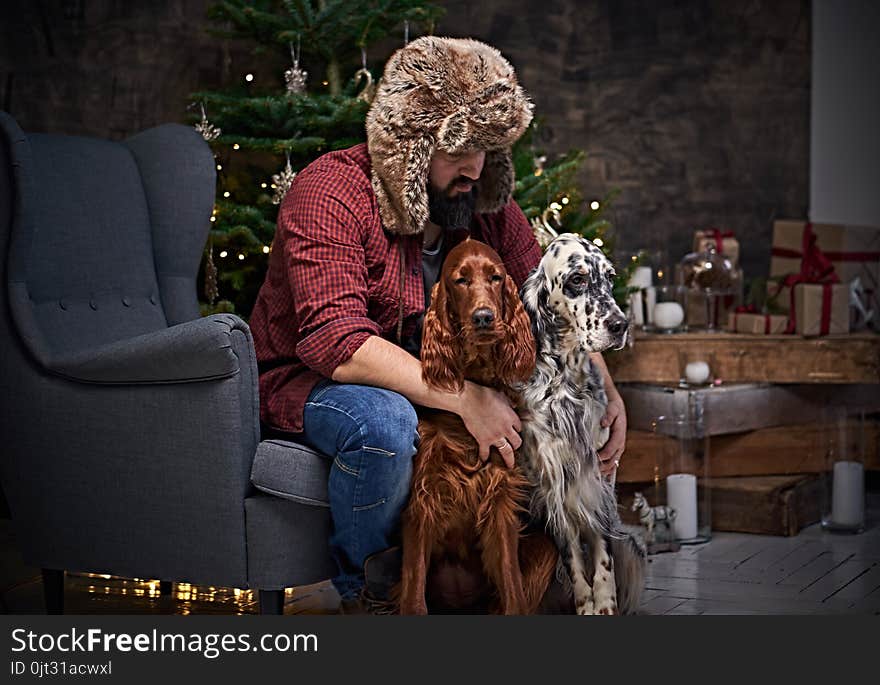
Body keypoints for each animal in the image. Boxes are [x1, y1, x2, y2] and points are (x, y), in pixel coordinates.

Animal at [398, 238, 556, 612]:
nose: (484, 317)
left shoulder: (500, 502)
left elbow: (512, 588)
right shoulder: (421, 505)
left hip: (544, 550)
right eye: (461, 280)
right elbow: (413, 594)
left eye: (496, 277)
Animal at [516, 234, 648, 616]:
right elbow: (573, 558)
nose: (620, 325)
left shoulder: (597, 476)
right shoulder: (553, 485)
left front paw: (604, 603)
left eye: (610, 277)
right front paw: (585, 602)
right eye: (577, 279)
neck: (566, 384)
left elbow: (602, 556)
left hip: (631, 545)